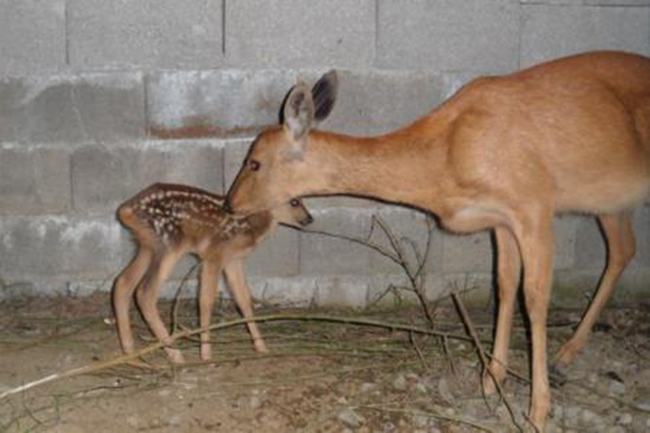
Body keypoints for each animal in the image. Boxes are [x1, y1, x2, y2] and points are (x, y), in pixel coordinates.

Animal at [112, 182, 312, 362]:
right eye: (295, 201)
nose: (310, 218)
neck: (249, 225)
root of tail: (126, 209)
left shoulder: (234, 260)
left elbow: (243, 300)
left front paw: (261, 347)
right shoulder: (214, 254)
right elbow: (206, 301)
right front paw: (206, 354)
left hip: (147, 246)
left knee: (123, 282)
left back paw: (129, 350)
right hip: (170, 243)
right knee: (145, 292)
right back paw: (176, 354)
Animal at [227, 52, 648, 430]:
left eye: (254, 162)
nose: (230, 202)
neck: (447, 157)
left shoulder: (534, 206)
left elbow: (534, 298)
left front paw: (537, 410)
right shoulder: (501, 221)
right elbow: (505, 285)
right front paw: (490, 381)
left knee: (620, 250)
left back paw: (565, 355)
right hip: (611, 201)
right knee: (624, 249)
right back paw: (569, 352)